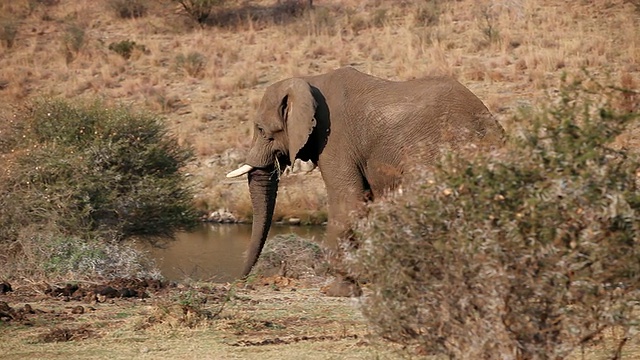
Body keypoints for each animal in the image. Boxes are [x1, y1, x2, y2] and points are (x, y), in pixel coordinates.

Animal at [225, 66, 504, 296]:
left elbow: (348, 200)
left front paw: (337, 291)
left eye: (261, 130)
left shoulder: (334, 138)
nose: (239, 281)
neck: (311, 80)